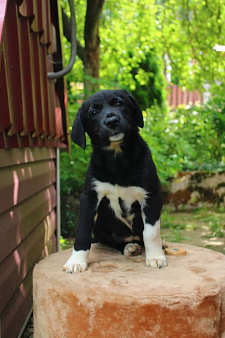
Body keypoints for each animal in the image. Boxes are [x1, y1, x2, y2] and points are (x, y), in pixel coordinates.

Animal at [63, 88, 167, 274]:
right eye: (93, 112)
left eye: (120, 103)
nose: (112, 121)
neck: (117, 158)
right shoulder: (90, 196)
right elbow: (83, 230)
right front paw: (76, 261)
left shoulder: (151, 194)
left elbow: (151, 231)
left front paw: (155, 256)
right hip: (101, 228)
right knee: (113, 241)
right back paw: (129, 247)